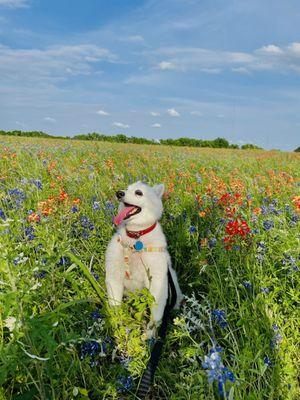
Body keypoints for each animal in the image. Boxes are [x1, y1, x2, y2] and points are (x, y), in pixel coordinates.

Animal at [105, 181, 183, 338]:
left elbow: (156, 314)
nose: (119, 193)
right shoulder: (114, 275)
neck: (136, 236)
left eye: (139, 193)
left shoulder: (157, 281)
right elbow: (115, 305)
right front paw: (118, 325)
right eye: (126, 189)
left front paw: (149, 335)